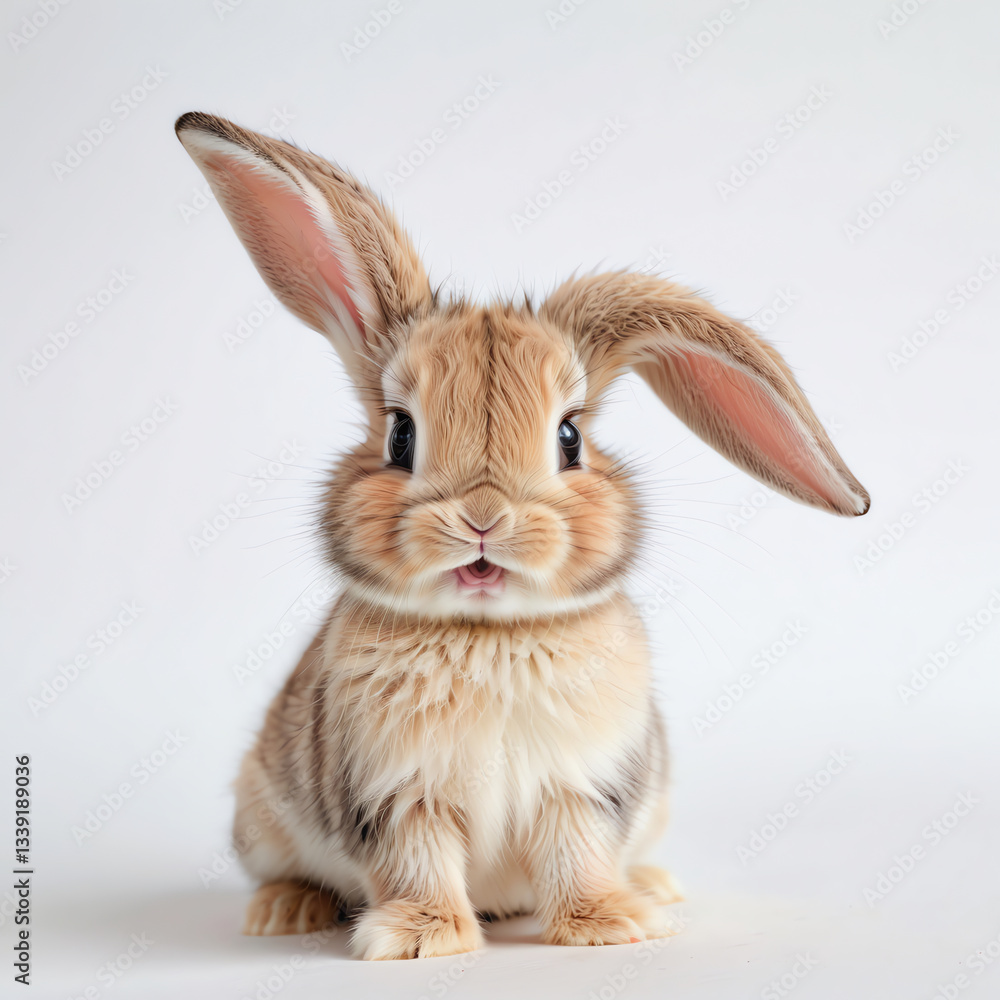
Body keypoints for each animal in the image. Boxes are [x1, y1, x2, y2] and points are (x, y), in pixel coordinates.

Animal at [175, 112, 869, 961]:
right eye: (400, 436)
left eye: (570, 439)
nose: (484, 520)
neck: (489, 634)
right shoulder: (400, 793)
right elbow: (418, 860)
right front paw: (418, 939)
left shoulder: (580, 786)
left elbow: (576, 853)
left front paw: (613, 927)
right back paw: (284, 911)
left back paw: (653, 887)